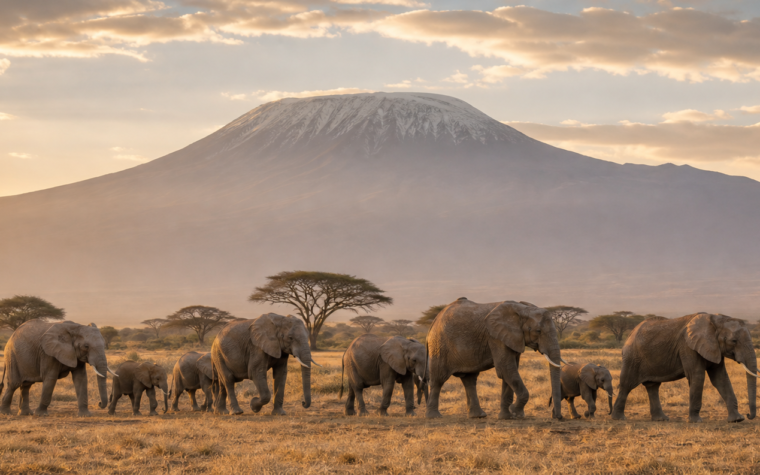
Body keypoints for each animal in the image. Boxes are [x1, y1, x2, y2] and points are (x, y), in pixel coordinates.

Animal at [426, 297, 564, 420]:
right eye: (538, 331)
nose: (557, 416)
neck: (523, 309)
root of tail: (435, 320)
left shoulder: (512, 338)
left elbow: (510, 371)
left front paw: (507, 417)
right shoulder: (495, 337)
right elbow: (506, 369)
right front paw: (515, 412)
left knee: (469, 380)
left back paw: (478, 416)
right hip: (439, 345)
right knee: (438, 379)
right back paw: (434, 416)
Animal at [611, 313, 757, 423]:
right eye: (734, 341)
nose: (749, 415)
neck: (715, 319)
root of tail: (630, 335)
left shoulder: (714, 348)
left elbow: (720, 379)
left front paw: (737, 419)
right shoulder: (687, 347)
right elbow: (697, 376)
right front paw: (696, 421)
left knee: (653, 386)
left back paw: (661, 419)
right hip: (632, 357)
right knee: (626, 384)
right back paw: (619, 418)